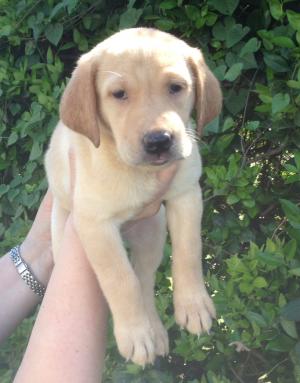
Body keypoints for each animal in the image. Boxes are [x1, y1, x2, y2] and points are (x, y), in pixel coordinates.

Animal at [45, 27, 223, 366]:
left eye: (176, 87)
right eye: (119, 94)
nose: (159, 141)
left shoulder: (186, 194)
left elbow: (188, 251)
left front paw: (193, 305)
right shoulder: (94, 224)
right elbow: (120, 280)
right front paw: (134, 335)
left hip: (153, 231)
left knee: (144, 278)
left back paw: (155, 330)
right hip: (62, 229)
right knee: (134, 280)